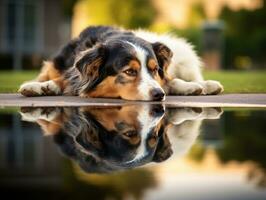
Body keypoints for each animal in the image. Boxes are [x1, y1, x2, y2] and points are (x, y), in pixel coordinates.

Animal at [18, 25, 222, 101]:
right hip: (57, 62)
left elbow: (170, 80)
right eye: (130, 72)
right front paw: (41, 87)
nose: (158, 95)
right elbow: (65, 80)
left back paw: (204, 85)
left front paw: (191, 87)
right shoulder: (73, 72)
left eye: (155, 69)